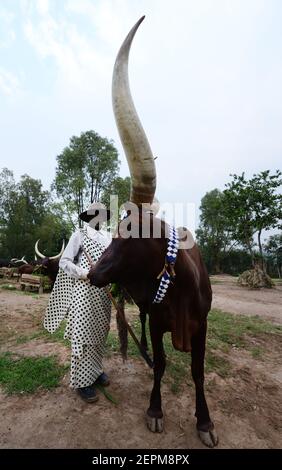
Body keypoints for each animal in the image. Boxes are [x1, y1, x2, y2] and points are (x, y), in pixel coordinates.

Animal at [88, 16, 218, 446]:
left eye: (131, 232)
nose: (93, 273)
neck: (179, 288)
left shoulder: (203, 328)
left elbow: (197, 372)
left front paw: (204, 422)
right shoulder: (160, 323)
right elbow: (160, 363)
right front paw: (155, 410)